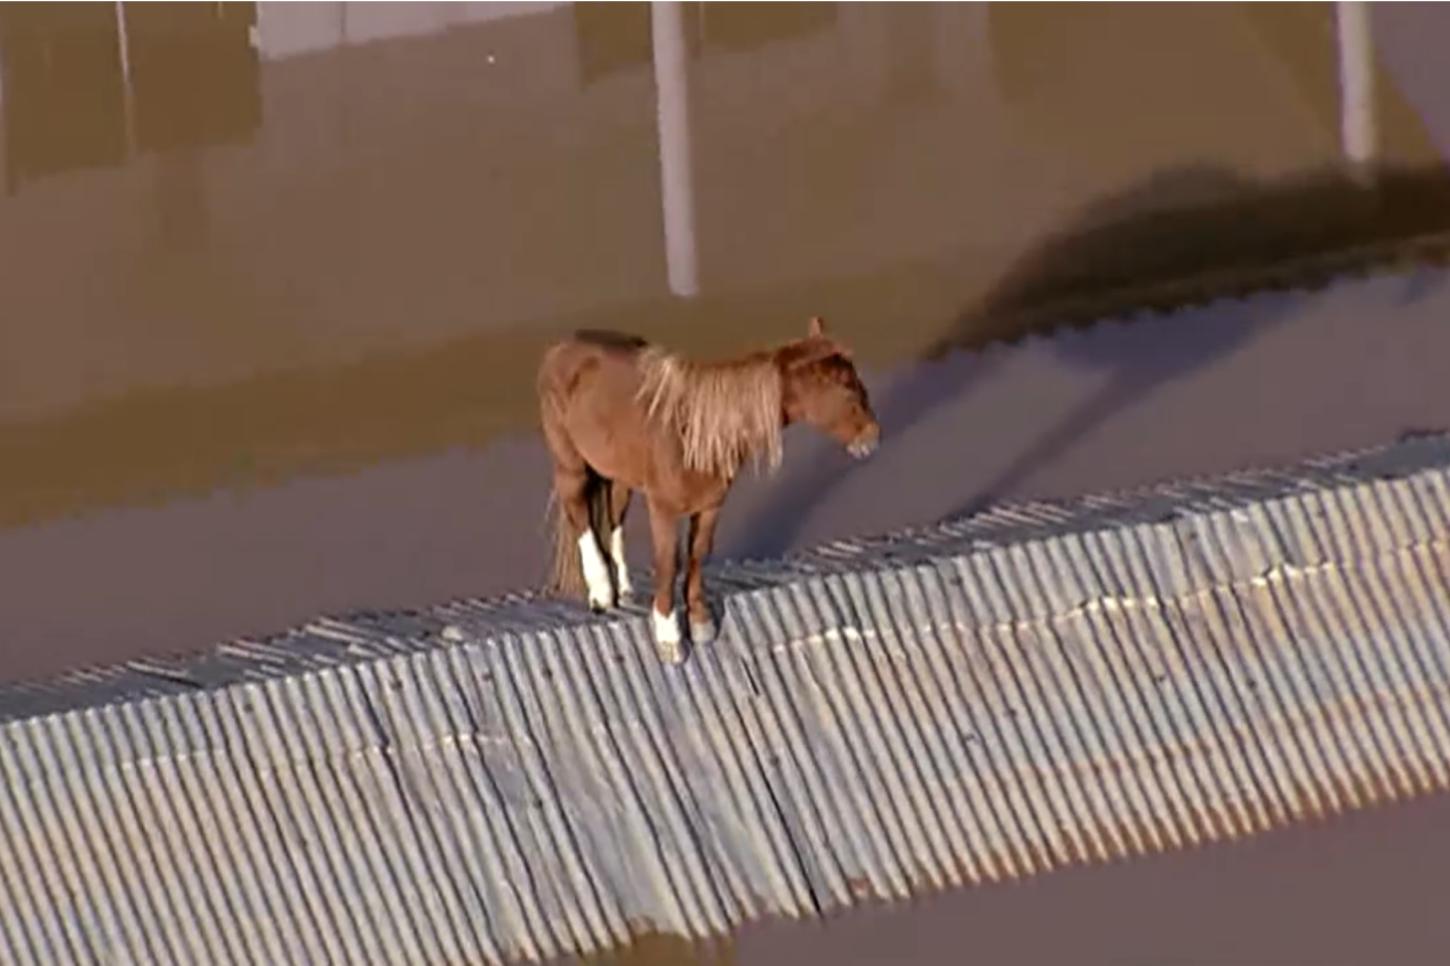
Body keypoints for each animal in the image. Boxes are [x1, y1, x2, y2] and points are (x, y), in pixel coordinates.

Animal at [537, 316, 879, 663]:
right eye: (847, 389)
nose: (872, 437)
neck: (692, 433)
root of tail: (563, 346)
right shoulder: (663, 508)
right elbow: (668, 562)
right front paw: (669, 636)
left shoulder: (711, 505)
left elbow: (698, 555)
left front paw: (700, 622)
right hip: (571, 465)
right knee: (580, 515)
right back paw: (601, 592)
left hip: (619, 474)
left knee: (613, 517)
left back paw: (622, 587)